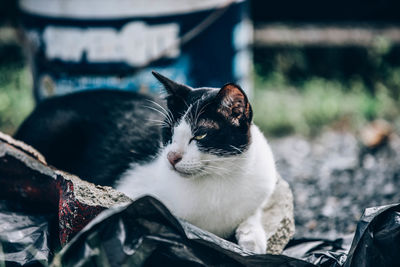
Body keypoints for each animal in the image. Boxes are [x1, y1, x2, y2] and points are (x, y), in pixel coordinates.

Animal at [15, 71, 278, 255]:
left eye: (201, 135)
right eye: (169, 132)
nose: (172, 157)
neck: (218, 178)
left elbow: (251, 212)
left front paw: (252, 239)